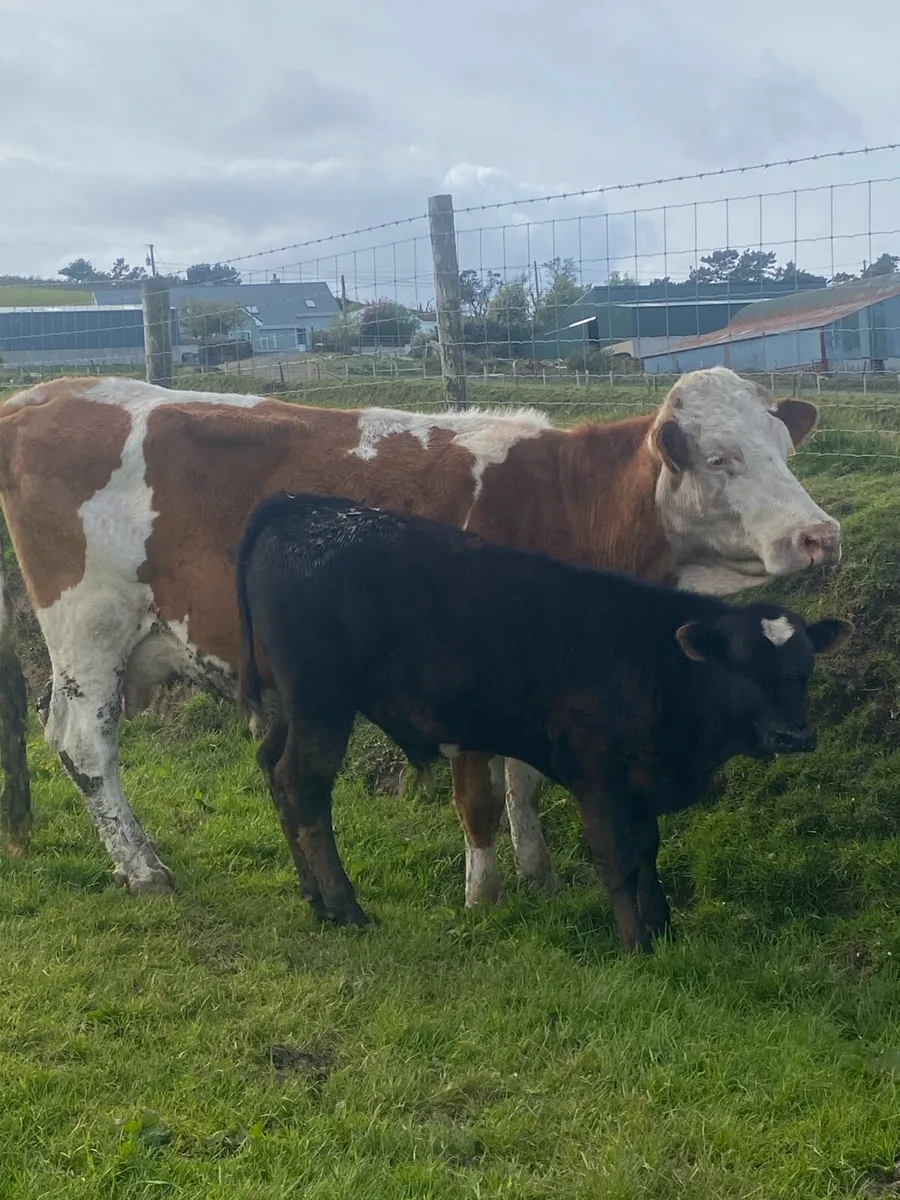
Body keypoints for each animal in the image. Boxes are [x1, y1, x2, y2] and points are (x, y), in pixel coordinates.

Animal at [0, 368, 841, 898]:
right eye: (720, 458)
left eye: (786, 451)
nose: (820, 535)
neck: (563, 500)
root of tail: (42, 394)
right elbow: (479, 792)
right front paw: (484, 891)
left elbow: (524, 780)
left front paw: (540, 874)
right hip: (89, 624)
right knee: (84, 743)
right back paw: (144, 869)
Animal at [235, 491, 851, 952]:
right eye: (743, 666)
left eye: (803, 669)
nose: (794, 734)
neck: (654, 660)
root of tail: (305, 509)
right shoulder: (594, 771)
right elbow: (617, 857)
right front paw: (635, 943)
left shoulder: (639, 780)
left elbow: (648, 850)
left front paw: (663, 928)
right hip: (323, 702)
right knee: (302, 787)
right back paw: (346, 908)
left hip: (295, 706)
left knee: (272, 769)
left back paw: (315, 901)